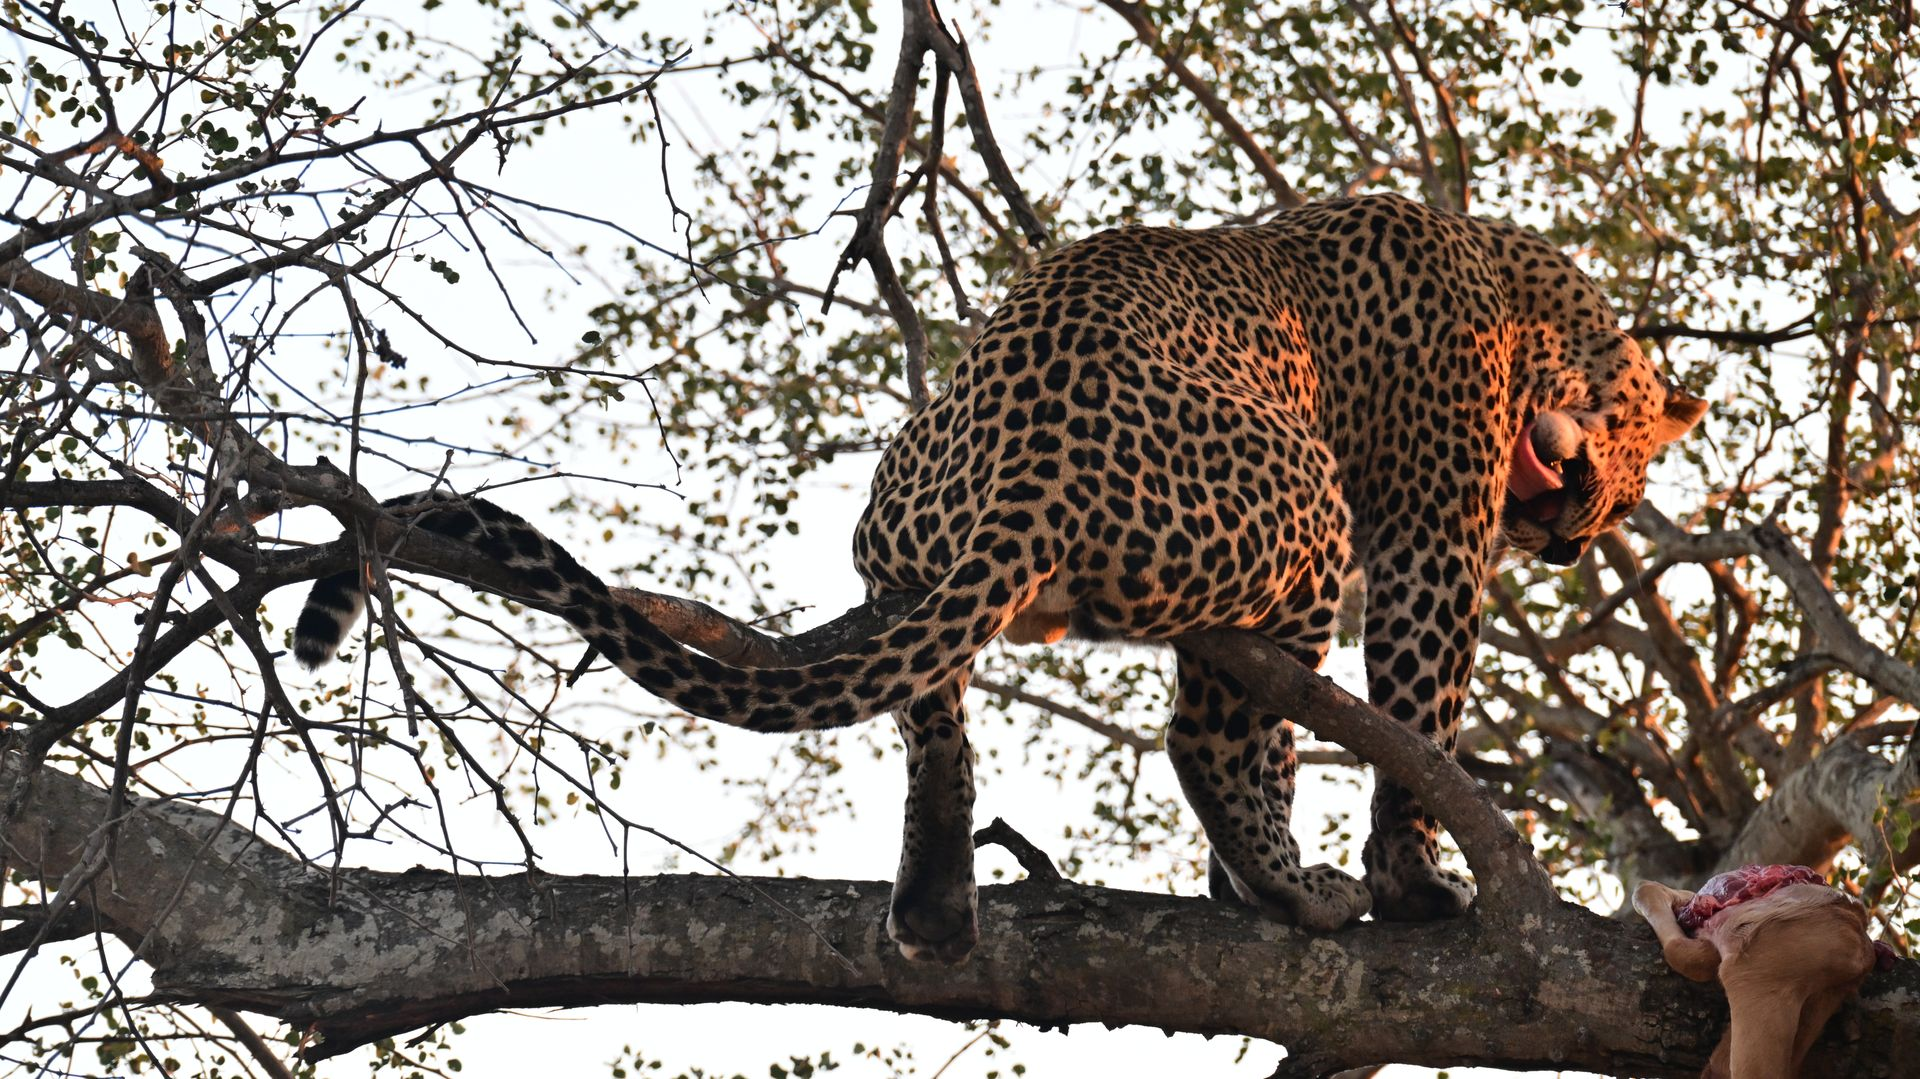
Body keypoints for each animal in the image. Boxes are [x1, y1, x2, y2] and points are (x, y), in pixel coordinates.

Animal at [294, 193, 1706, 964]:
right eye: (1638, 469)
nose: (1571, 542)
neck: (1513, 284)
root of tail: (1036, 460)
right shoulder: (1431, 530)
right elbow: (1413, 713)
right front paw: (1408, 877)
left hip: (902, 533)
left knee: (939, 705)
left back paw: (935, 892)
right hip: (1301, 512)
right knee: (1204, 729)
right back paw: (1292, 886)